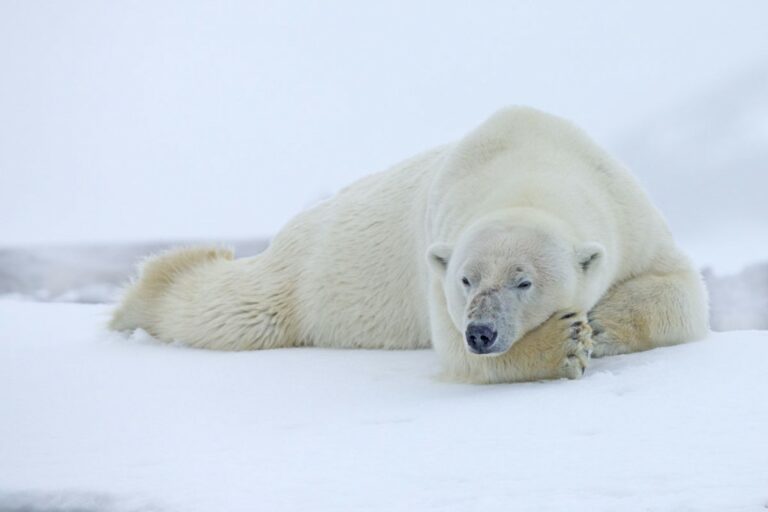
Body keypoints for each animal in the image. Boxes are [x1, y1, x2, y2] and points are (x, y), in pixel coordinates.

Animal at [111, 106, 712, 382]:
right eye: (466, 279)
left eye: (524, 281)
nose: (482, 331)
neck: (530, 162)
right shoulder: (440, 239)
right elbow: (452, 350)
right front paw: (564, 342)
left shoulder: (625, 207)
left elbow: (683, 289)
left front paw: (603, 324)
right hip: (305, 270)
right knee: (238, 309)